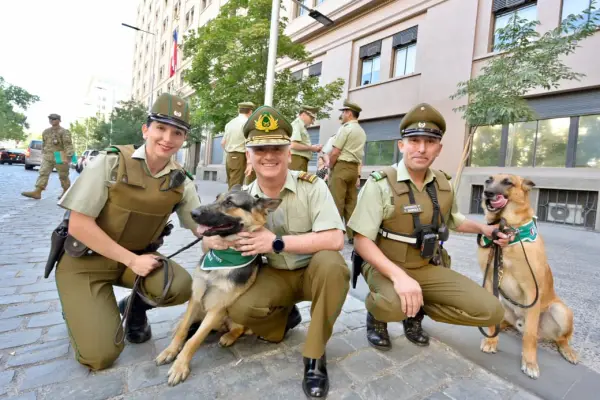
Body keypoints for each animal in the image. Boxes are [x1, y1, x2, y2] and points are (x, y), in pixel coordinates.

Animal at [157, 186, 284, 386]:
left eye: (229, 203)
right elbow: (184, 331)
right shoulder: (196, 298)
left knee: (239, 329)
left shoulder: (217, 308)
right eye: (217, 198)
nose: (193, 213)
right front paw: (171, 351)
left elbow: (194, 340)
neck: (224, 259)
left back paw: (228, 337)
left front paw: (180, 366)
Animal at [478, 174, 576, 378]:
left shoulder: (532, 291)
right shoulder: (490, 281)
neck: (507, 232)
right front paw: (491, 341)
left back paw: (568, 351)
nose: (487, 193)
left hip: (561, 310)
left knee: (560, 338)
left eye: (508, 182)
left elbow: (529, 336)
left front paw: (530, 363)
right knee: (504, 322)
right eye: (488, 180)